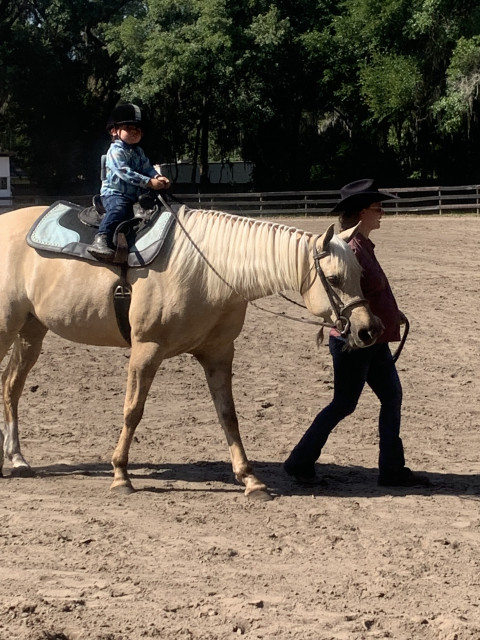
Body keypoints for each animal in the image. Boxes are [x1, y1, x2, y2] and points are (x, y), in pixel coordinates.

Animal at [0, 202, 382, 498]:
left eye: (361, 274)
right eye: (333, 279)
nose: (369, 330)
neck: (208, 270)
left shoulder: (219, 354)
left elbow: (228, 415)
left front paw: (251, 479)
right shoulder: (146, 350)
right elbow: (132, 411)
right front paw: (121, 476)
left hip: (31, 332)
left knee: (11, 388)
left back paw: (17, 459)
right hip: (7, 329)